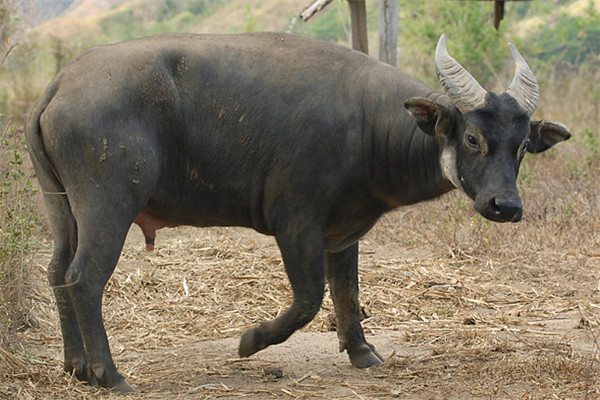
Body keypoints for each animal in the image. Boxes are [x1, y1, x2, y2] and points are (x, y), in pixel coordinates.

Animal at [27, 32, 572, 392]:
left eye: (523, 146)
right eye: (473, 138)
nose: (505, 205)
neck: (367, 125)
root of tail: (59, 86)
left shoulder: (343, 232)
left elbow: (348, 292)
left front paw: (362, 352)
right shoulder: (295, 224)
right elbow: (310, 299)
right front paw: (251, 341)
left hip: (63, 209)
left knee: (56, 272)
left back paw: (75, 365)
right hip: (107, 205)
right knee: (84, 278)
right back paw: (108, 374)